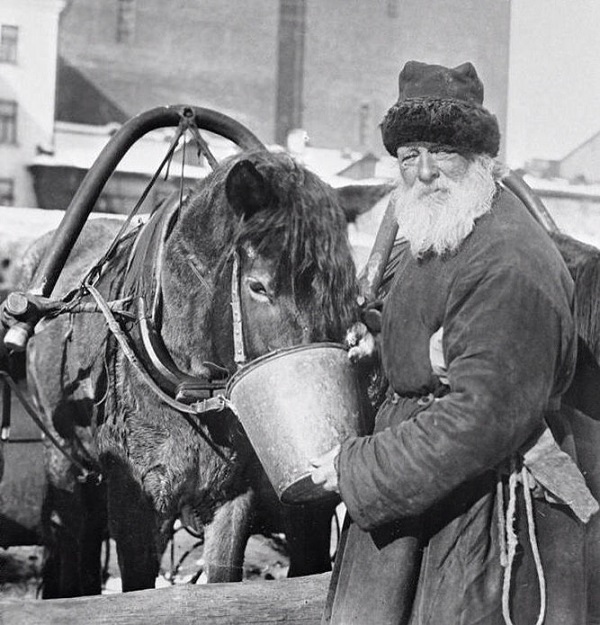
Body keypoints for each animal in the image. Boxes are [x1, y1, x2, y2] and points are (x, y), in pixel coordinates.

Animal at [16, 149, 359, 597]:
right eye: (258, 286)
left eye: (342, 290)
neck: (187, 387)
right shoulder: (135, 499)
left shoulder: (232, 495)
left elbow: (222, 575)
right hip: (64, 461)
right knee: (75, 539)